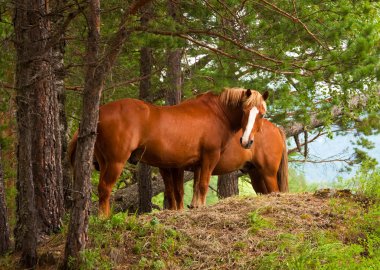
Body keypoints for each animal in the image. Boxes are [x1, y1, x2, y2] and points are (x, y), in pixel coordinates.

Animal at [70, 87, 268, 216]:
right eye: (245, 110)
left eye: (261, 113)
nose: (247, 141)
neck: (217, 113)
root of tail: (100, 112)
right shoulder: (209, 157)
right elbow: (202, 185)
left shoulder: (190, 164)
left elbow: (190, 188)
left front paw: (194, 206)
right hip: (115, 161)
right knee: (105, 188)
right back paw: (104, 218)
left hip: (104, 161)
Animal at [160, 119, 288, 210]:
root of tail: (276, 128)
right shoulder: (166, 169)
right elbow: (171, 190)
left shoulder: (179, 168)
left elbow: (179, 190)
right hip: (256, 175)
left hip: (268, 174)